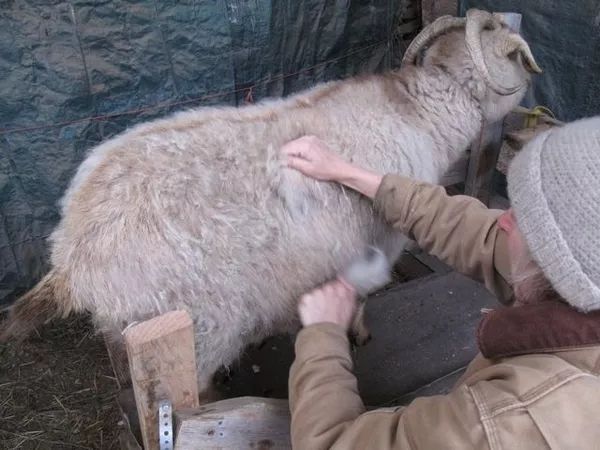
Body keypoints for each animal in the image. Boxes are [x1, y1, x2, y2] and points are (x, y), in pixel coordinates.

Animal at [3, 9, 540, 398]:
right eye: (517, 56)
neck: (420, 111)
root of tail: (72, 253)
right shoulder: (379, 240)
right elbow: (364, 295)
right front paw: (359, 332)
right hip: (197, 328)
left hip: (128, 328)